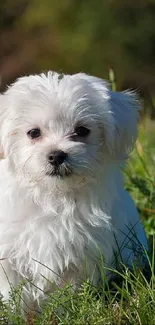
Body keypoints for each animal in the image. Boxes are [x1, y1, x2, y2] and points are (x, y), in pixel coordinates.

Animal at [0, 71, 148, 304]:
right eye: (33, 133)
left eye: (81, 130)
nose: (56, 155)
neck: (55, 195)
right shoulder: (10, 254)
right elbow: (12, 292)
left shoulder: (83, 254)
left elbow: (70, 292)